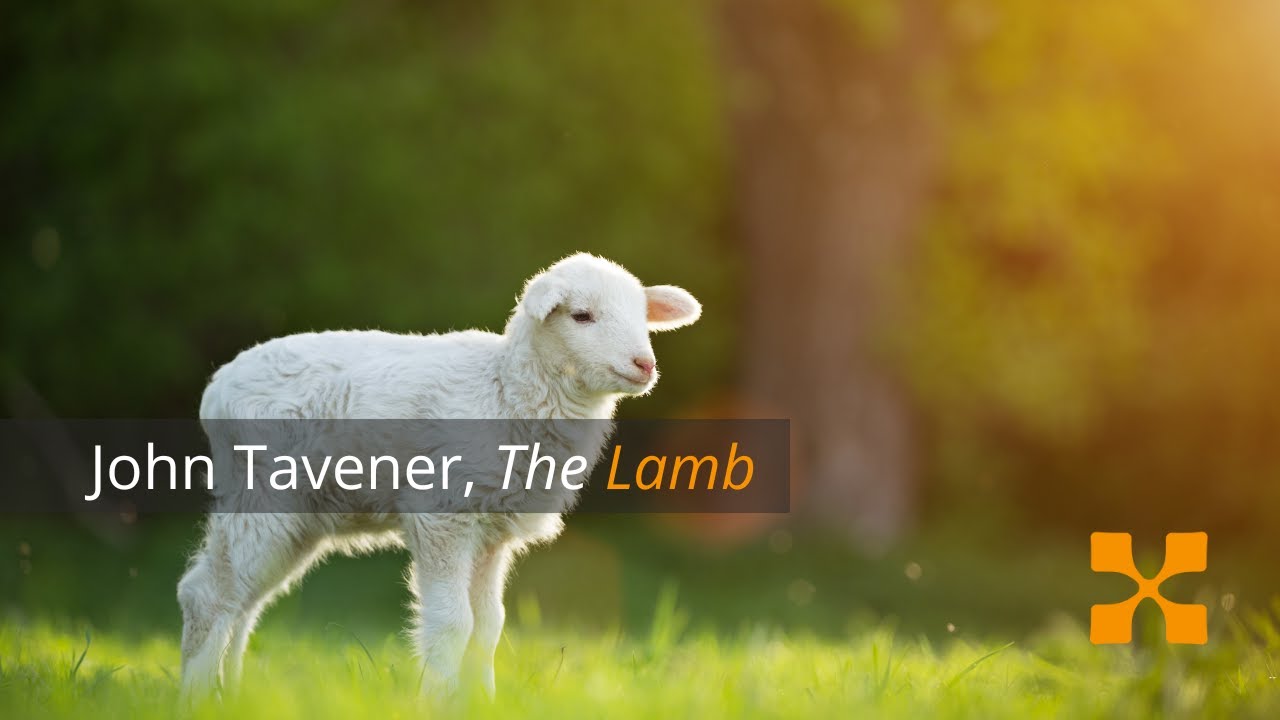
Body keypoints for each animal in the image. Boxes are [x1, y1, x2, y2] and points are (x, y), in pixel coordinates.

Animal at [177, 253, 701, 700]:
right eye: (582, 316)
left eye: (642, 316)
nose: (644, 365)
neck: (506, 390)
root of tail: (217, 388)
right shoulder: (443, 514)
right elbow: (454, 622)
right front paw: (438, 699)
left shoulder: (492, 531)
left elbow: (488, 626)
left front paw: (483, 700)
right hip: (261, 493)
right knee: (209, 596)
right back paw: (198, 697)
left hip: (298, 518)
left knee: (244, 602)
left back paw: (232, 693)